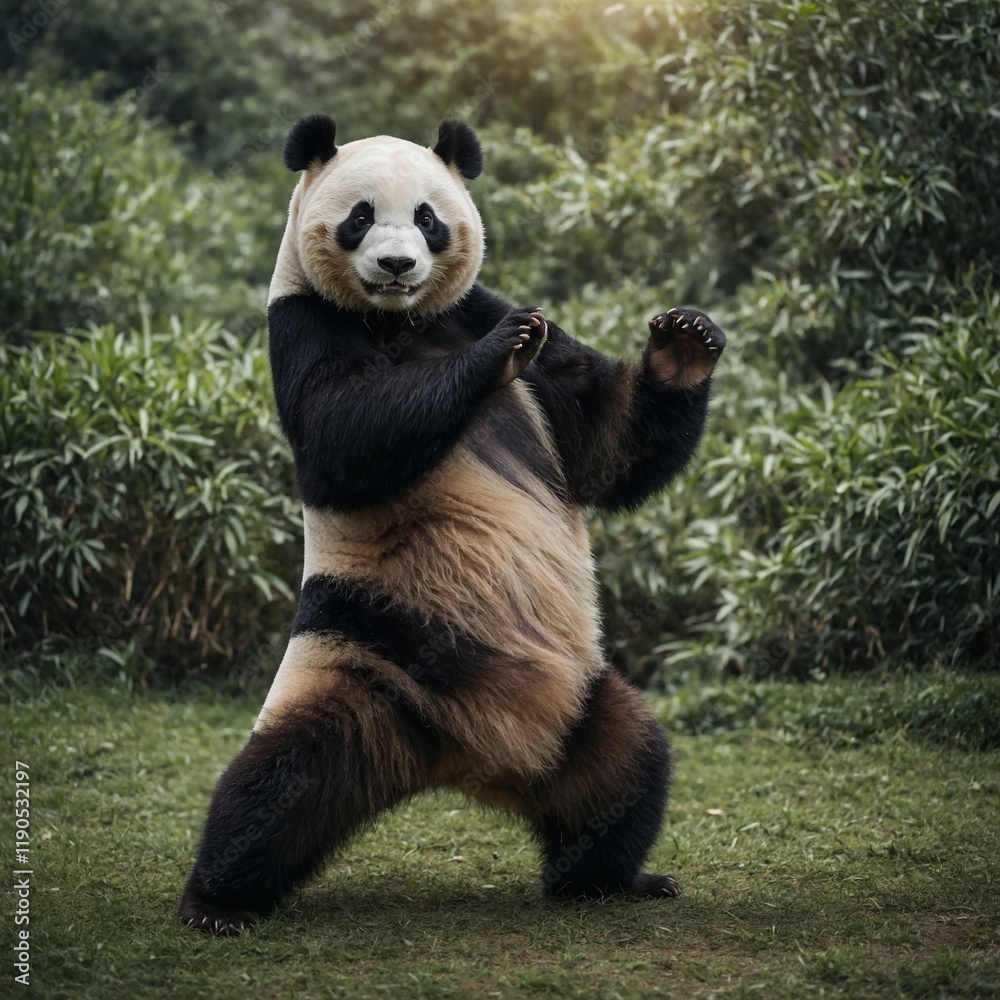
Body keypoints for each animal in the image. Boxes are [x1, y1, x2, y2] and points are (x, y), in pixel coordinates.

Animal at [179, 114, 726, 935]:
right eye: (361, 217)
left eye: (429, 218)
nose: (398, 264)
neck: (398, 321)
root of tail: (469, 760)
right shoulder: (302, 322)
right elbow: (343, 431)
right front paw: (497, 354)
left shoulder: (475, 308)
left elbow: (601, 441)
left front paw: (684, 342)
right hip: (364, 660)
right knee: (279, 783)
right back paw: (216, 900)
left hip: (572, 700)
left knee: (626, 768)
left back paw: (610, 879)